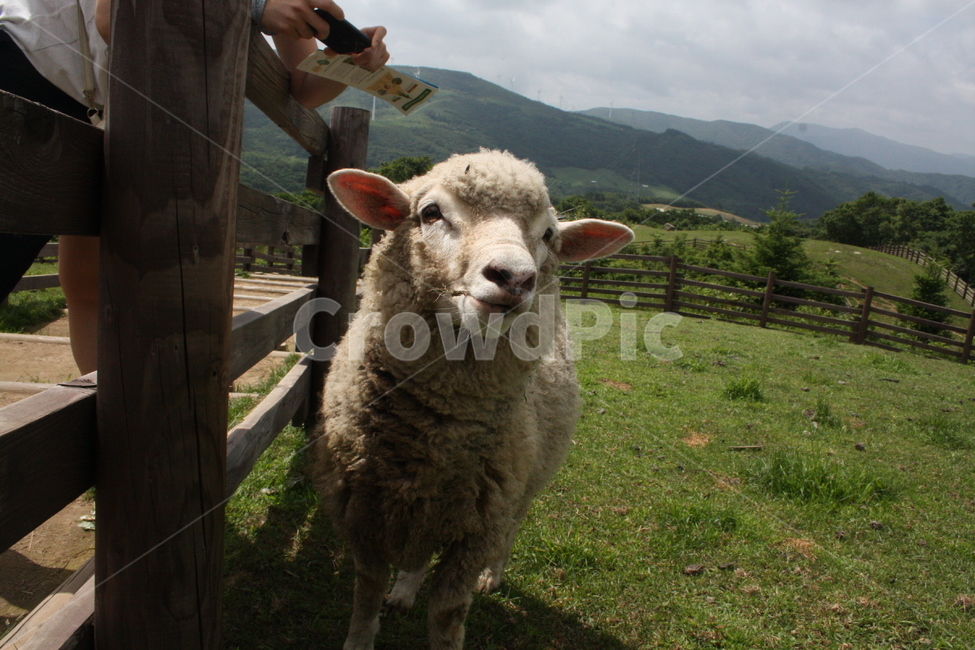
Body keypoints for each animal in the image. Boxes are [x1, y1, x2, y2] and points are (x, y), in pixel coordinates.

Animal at [311, 149, 634, 650]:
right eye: (430, 213)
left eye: (548, 235)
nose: (516, 278)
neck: (437, 429)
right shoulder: (360, 510)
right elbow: (366, 587)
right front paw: (364, 632)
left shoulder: (479, 527)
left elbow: (447, 613)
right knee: (418, 554)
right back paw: (404, 590)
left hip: (526, 483)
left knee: (513, 526)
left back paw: (492, 576)